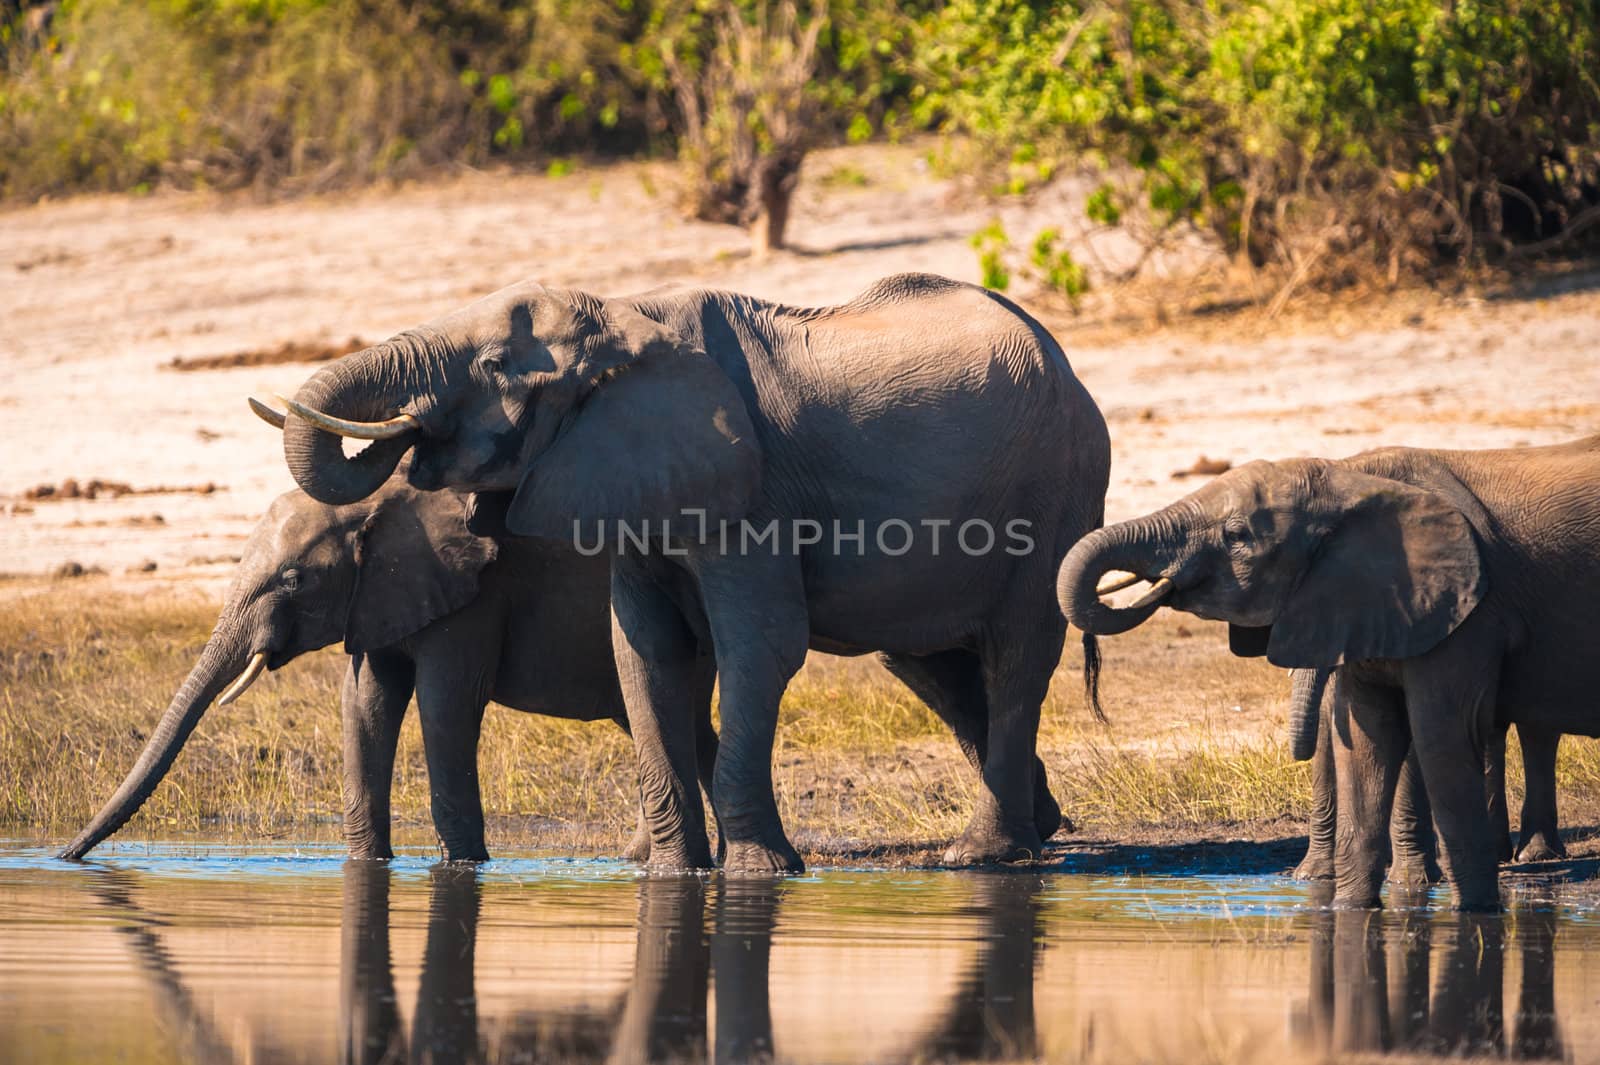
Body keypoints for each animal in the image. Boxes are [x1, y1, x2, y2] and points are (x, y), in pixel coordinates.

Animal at [58, 473, 720, 863]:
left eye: (294, 580)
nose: (65, 856)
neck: (376, 504)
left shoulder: (473, 594)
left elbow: (444, 704)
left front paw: (462, 867)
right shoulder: (378, 595)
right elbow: (365, 702)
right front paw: (369, 864)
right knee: (679, 731)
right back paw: (648, 862)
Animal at [265, 270, 1113, 869]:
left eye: (496, 364)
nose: (409, 435)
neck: (630, 315)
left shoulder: (752, 493)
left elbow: (760, 647)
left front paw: (762, 872)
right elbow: (645, 652)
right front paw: (673, 875)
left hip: (1055, 492)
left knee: (1015, 655)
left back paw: (983, 855)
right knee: (931, 665)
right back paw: (1041, 826)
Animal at [1062, 434, 1600, 908]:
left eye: (1235, 536)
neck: (1351, 479)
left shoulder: (1468, 614)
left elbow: (1439, 738)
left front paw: (1471, 915)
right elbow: (1364, 741)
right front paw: (1346, 909)